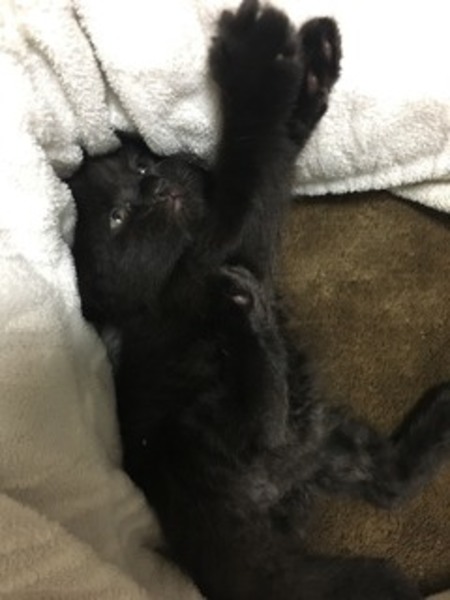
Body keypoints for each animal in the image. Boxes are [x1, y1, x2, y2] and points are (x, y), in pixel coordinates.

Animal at [68, 1, 450, 598]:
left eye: (140, 168)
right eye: (119, 218)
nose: (155, 188)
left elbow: (276, 161)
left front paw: (312, 72)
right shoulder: (214, 253)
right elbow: (253, 168)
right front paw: (257, 64)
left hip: (325, 437)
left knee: (387, 482)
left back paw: (440, 409)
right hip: (217, 432)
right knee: (265, 427)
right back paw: (248, 322)